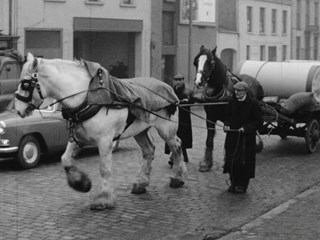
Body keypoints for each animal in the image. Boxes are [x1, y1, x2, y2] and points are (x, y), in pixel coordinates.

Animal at [16, 53, 186, 210]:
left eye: (25, 84)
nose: (18, 110)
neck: (87, 97)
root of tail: (168, 86)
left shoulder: (105, 141)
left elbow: (104, 169)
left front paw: (104, 199)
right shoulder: (78, 137)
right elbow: (65, 159)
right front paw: (81, 183)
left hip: (166, 129)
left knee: (177, 146)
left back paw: (177, 177)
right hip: (140, 130)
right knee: (149, 150)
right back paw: (141, 183)